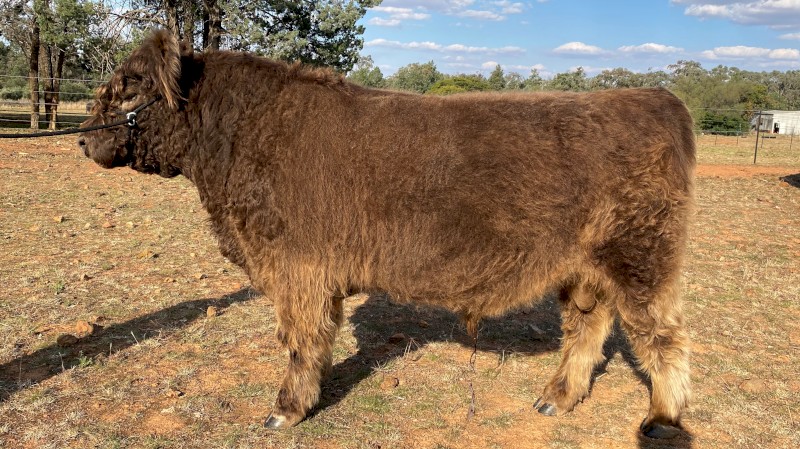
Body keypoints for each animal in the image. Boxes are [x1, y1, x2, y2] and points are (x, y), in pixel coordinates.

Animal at [78, 30, 695, 439]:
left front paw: (286, 409)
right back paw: (557, 399)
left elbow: (299, 340)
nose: (83, 139)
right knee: (588, 328)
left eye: (129, 89)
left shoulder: (298, 269)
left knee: (662, 336)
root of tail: (656, 97)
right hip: (586, 268)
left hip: (643, 260)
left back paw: (662, 419)